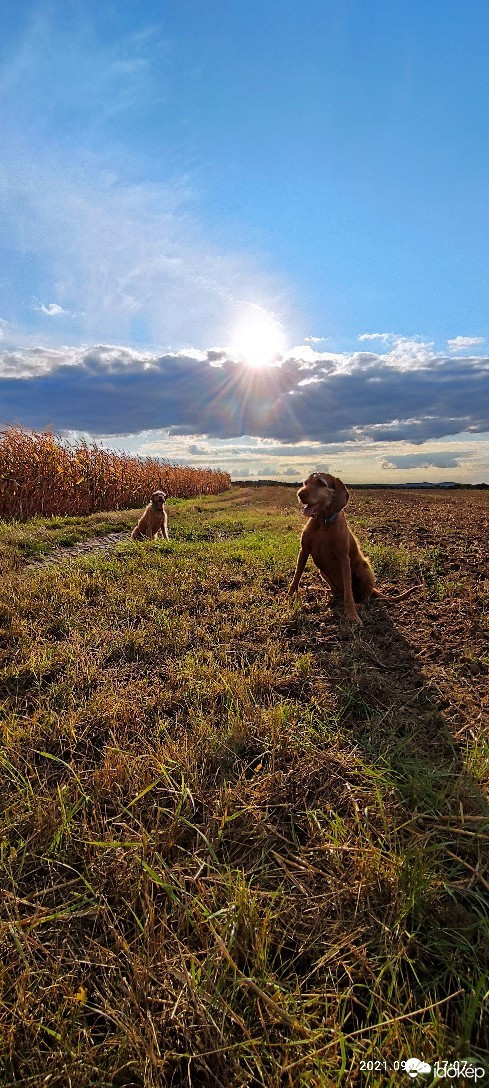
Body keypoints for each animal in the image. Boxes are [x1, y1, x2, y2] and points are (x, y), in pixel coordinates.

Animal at [287, 474, 418, 626]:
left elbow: (348, 594)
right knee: (335, 591)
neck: (323, 522)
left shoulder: (343, 558)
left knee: (364, 598)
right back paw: (320, 590)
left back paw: (359, 605)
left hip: (364, 569)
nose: (300, 494)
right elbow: (296, 577)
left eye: (321, 483)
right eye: (305, 483)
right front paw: (289, 597)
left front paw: (352, 615)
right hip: (322, 572)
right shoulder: (304, 551)